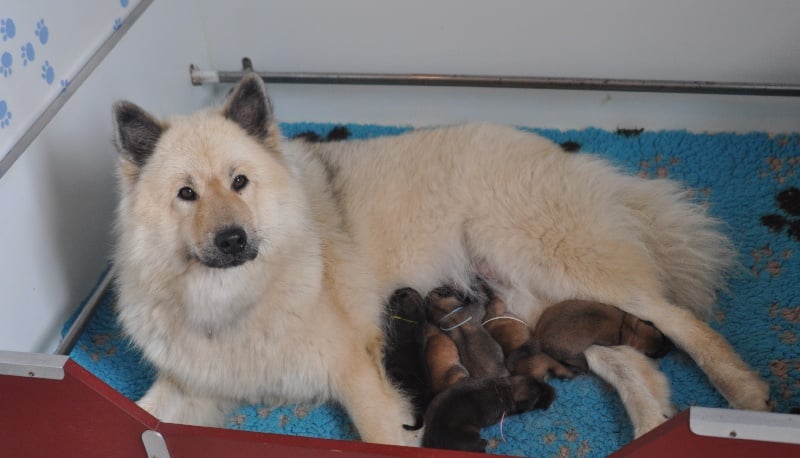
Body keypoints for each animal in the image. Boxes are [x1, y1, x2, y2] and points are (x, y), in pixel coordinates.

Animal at [111, 73, 768, 446]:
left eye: (240, 182)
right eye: (186, 194)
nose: (231, 239)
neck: (231, 298)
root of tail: (570, 158)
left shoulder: (359, 376)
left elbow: (380, 434)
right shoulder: (195, 384)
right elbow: (142, 412)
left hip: (559, 263)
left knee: (677, 318)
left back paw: (743, 392)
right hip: (553, 313)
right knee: (637, 363)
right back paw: (653, 429)